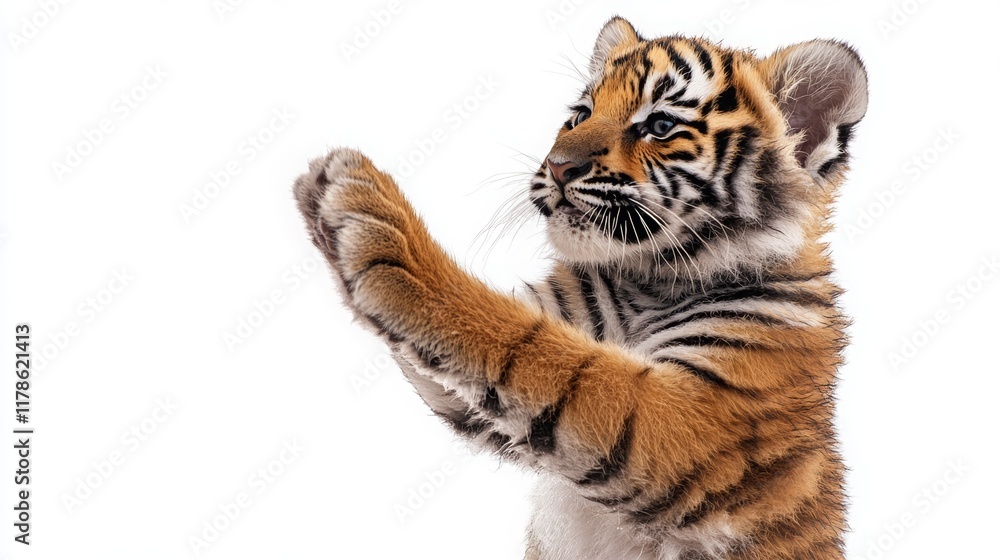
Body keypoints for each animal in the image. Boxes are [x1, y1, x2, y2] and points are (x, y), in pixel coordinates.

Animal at [292, 16, 867, 560]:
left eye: (660, 125)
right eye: (579, 114)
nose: (558, 165)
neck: (649, 280)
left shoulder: (691, 414)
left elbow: (528, 345)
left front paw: (371, 217)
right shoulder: (534, 360)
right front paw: (324, 194)